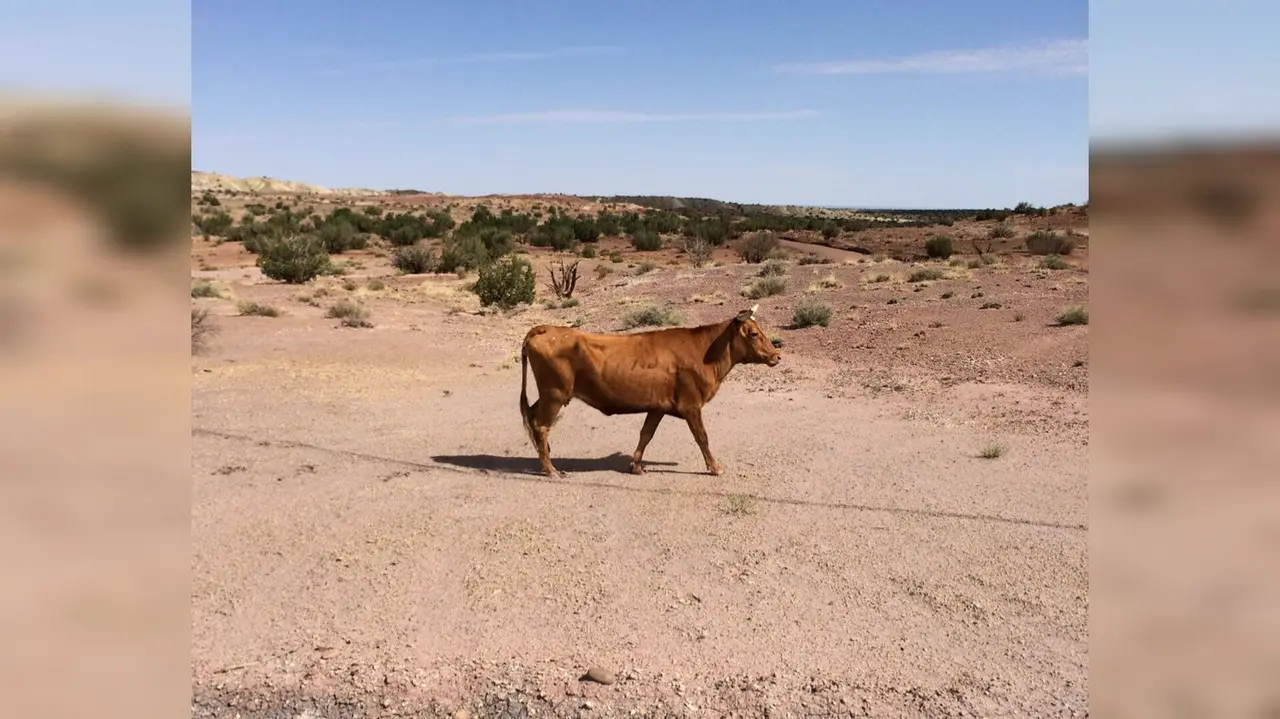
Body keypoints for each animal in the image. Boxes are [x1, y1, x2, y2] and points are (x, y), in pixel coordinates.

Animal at [517, 301, 778, 475]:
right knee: (541, 425)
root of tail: (546, 328)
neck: (704, 352)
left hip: (550, 395)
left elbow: (646, 434)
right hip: (555, 394)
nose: (777, 356)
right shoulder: (691, 405)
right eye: (754, 334)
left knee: (532, 416)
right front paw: (715, 468)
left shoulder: (657, 406)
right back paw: (551, 469)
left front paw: (636, 465)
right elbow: (702, 437)